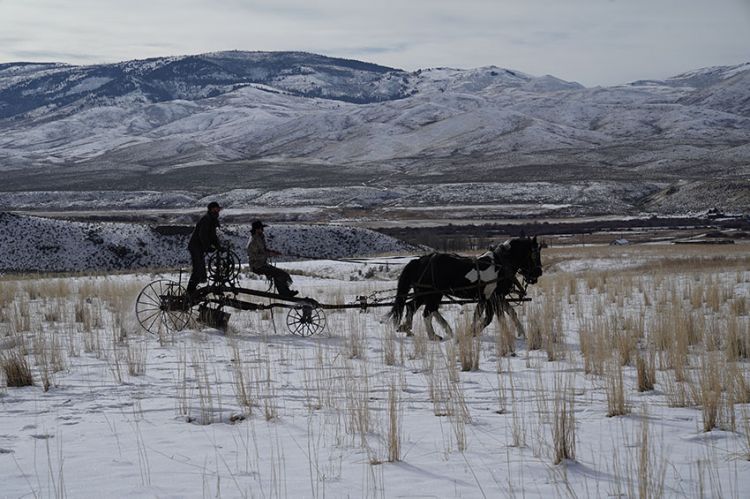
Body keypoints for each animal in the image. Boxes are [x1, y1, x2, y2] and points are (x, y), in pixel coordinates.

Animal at [388, 237, 548, 340]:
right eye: (534, 254)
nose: (538, 273)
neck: (501, 264)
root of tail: (420, 260)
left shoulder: (495, 297)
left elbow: (509, 313)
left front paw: (521, 333)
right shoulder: (492, 297)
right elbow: (492, 318)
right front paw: (473, 331)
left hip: (425, 294)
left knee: (412, 306)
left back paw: (408, 328)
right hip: (432, 294)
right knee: (426, 312)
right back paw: (433, 335)